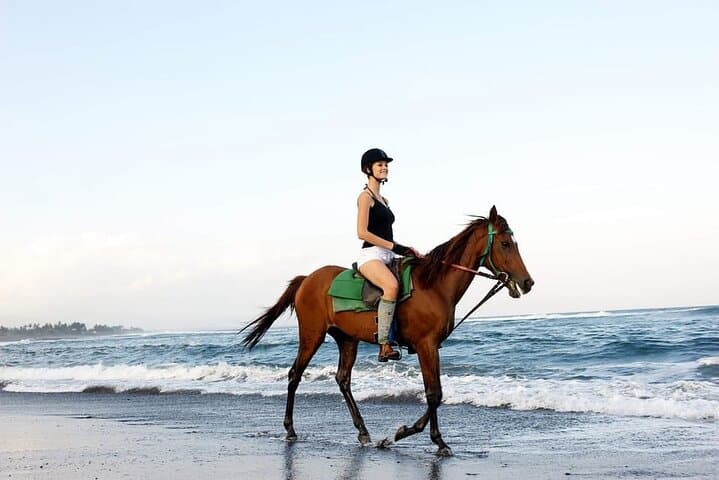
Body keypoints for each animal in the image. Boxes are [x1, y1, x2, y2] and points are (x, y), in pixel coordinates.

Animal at [240, 206, 533, 456]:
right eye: (505, 244)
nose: (527, 282)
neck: (434, 285)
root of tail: (306, 280)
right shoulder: (426, 345)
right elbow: (434, 393)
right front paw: (431, 439)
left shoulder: (432, 347)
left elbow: (435, 393)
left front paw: (404, 433)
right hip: (312, 336)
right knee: (294, 375)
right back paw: (290, 429)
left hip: (347, 340)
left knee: (342, 380)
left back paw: (363, 432)